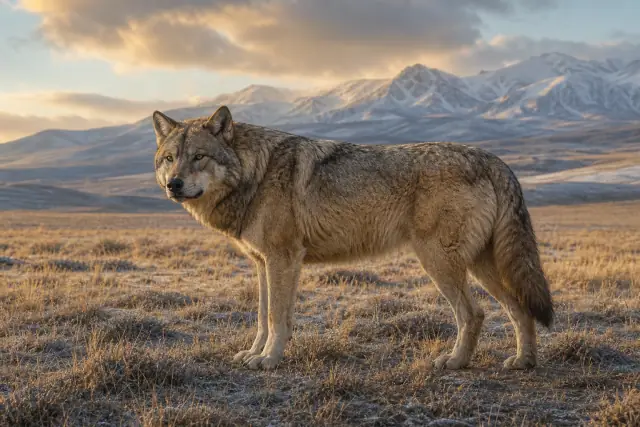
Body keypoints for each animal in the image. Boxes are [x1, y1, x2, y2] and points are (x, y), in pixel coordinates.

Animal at [152, 106, 554, 371]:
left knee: (474, 313)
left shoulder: (284, 259)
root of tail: (492, 158)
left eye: (199, 157)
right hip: (480, 266)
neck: (256, 173)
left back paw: (454, 362)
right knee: (519, 308)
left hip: (439, 262)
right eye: (169, 158)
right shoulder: (262, 263)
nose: (174, 184)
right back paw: (523, 362)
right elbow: (263, 317)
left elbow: (277, 317)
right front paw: (255, 354)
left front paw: (270, 359)